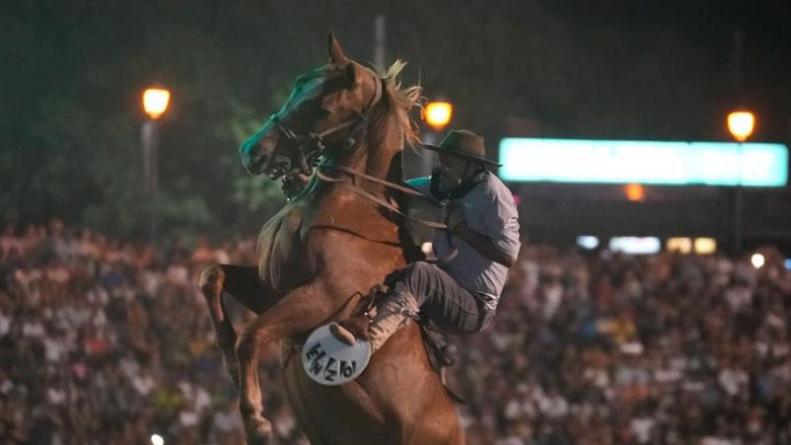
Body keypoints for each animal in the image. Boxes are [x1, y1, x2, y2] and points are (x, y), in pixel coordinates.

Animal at [198, 34, 464, 445]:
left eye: (321, 107)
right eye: (296, 87)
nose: (252, 151)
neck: (347, 205)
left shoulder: (323, 297)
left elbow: (252, 336)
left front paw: (256, 419)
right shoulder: (271, 290)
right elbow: (212, 277)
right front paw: (227, 361)